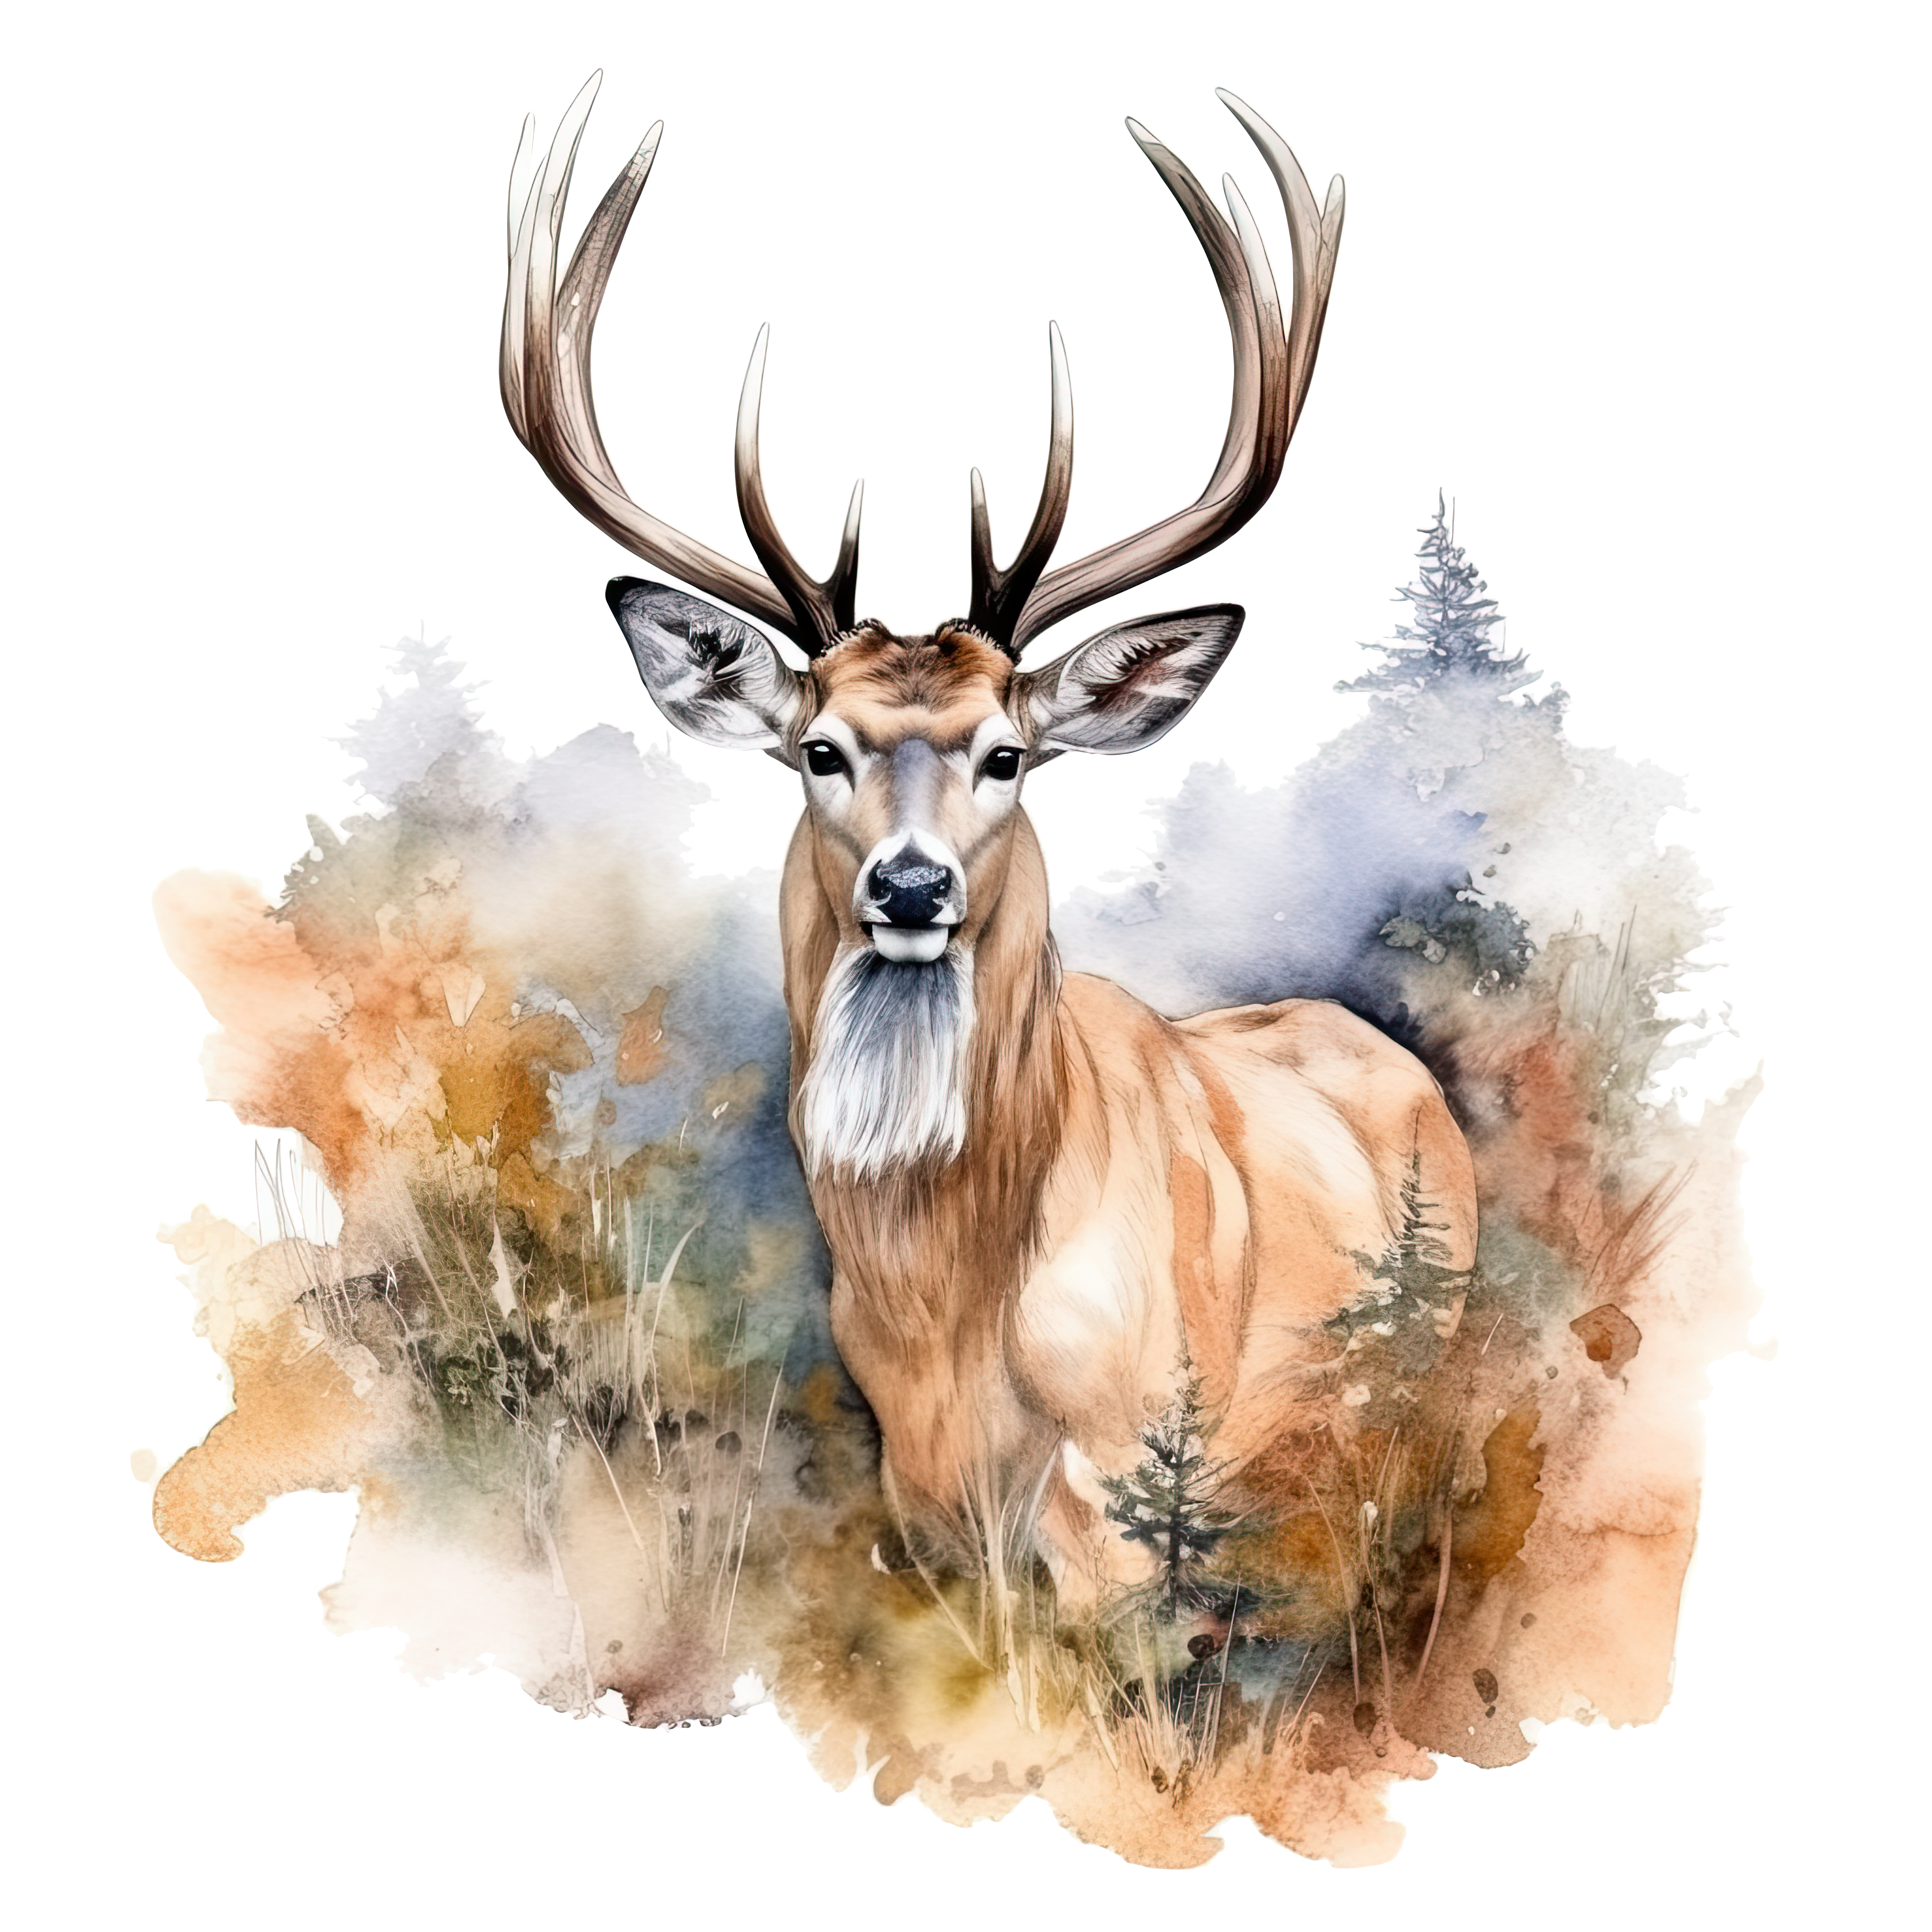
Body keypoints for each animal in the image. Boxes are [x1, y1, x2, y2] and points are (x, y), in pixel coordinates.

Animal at [500, 77, 1478, 1638]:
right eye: (818, 748)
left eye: (1008, 754)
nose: (911, 887)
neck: (944, 1326)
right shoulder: (918, 1512)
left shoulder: (1130, 1487)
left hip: (1416, 1376)